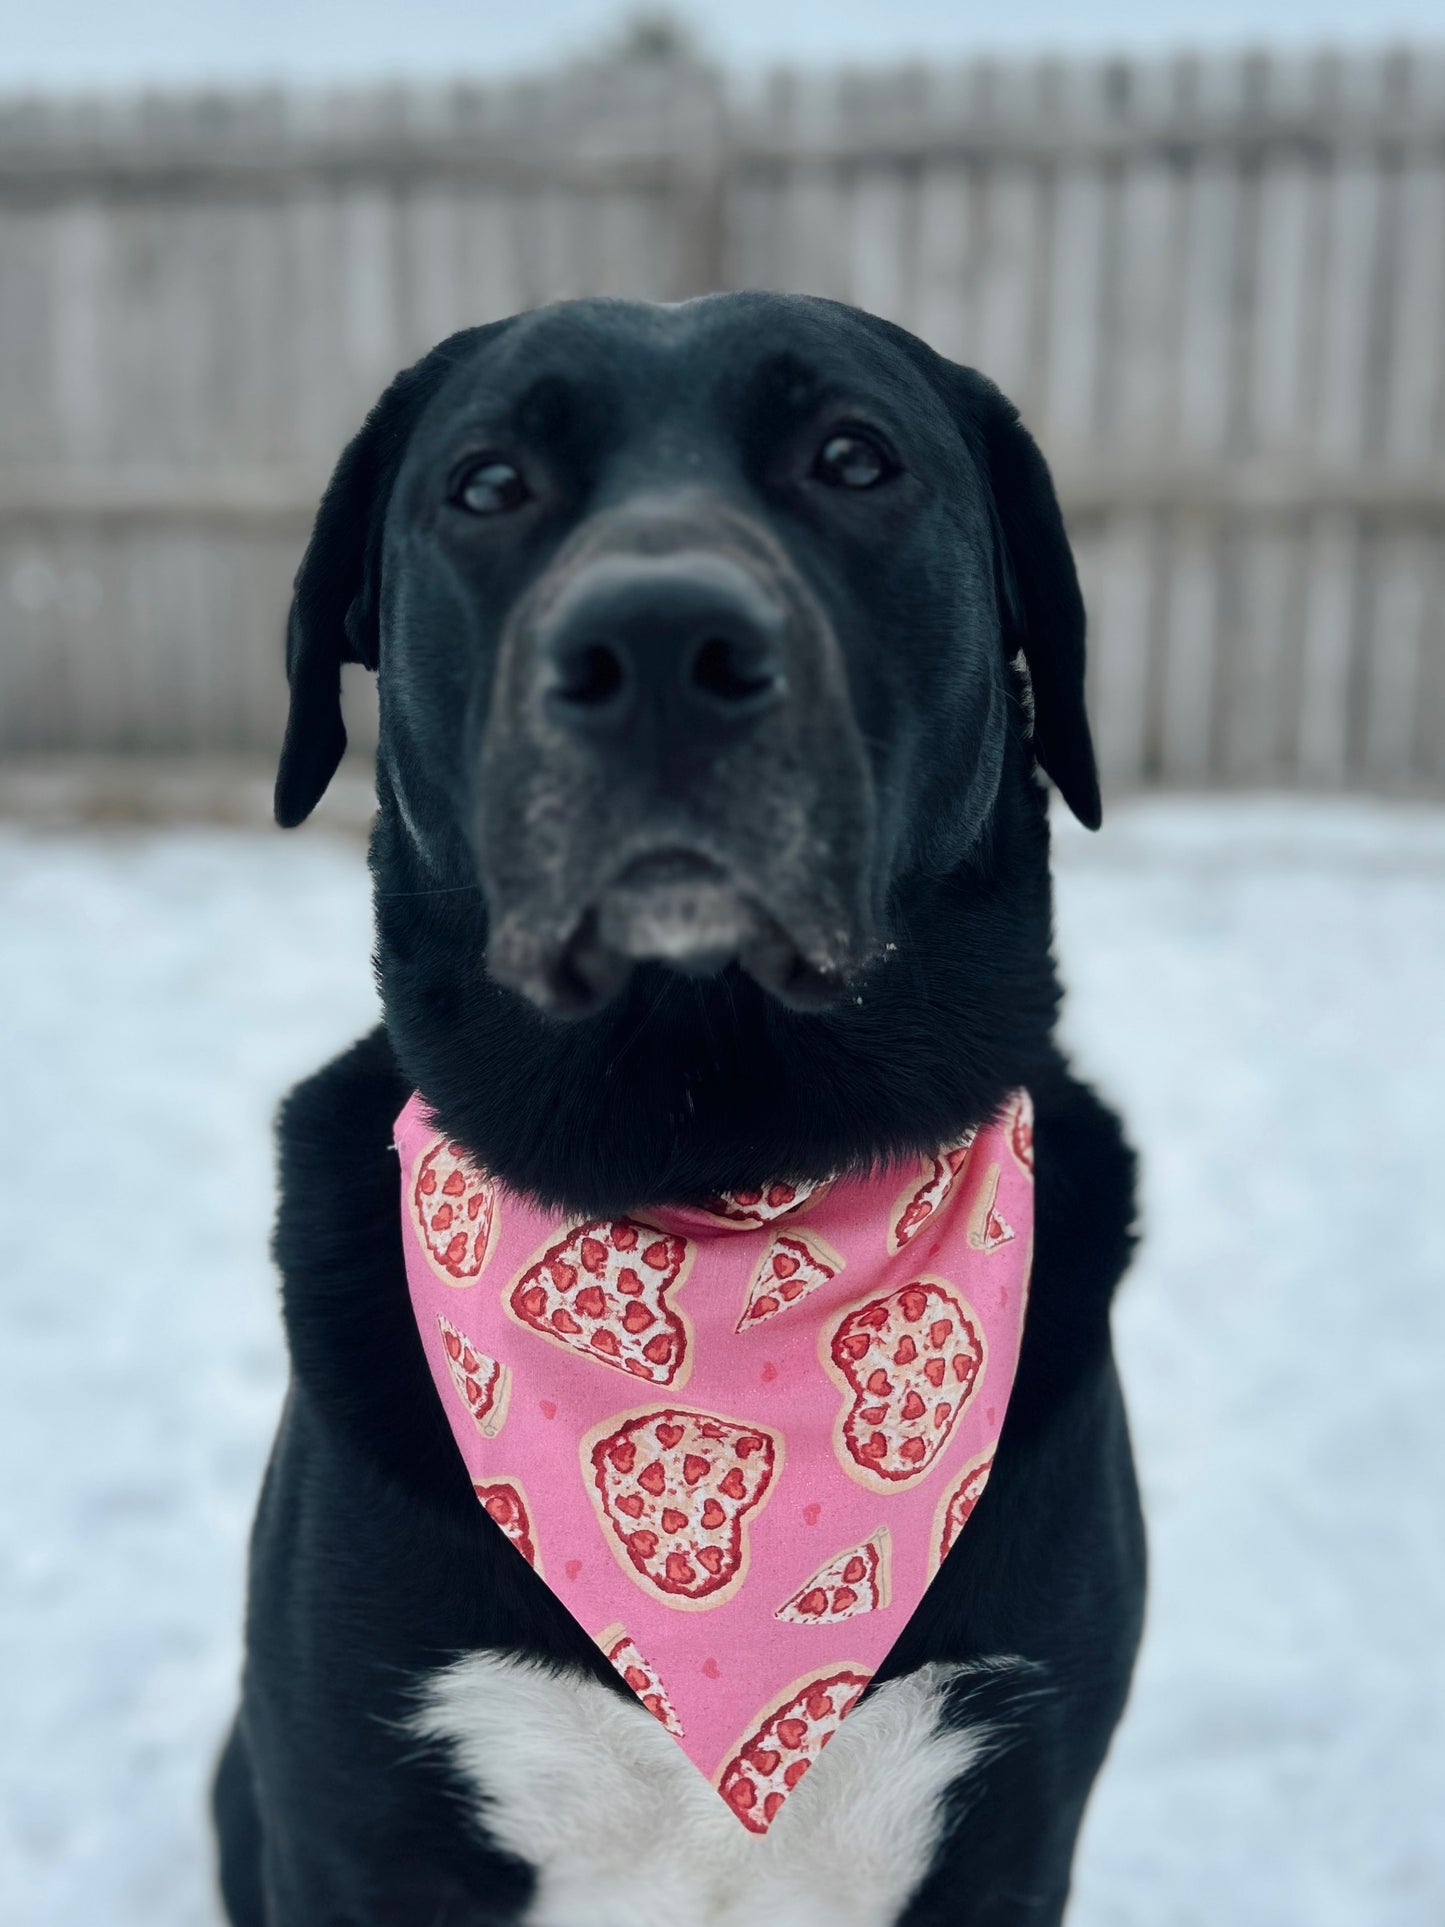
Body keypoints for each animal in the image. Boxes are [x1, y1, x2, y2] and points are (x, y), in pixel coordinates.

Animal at [214, 292, 1140, 1919]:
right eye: (488, 482)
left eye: (852, 455)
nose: (656, 642)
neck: (715, 1160)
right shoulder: (346, 1815)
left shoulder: (1017, 1815)